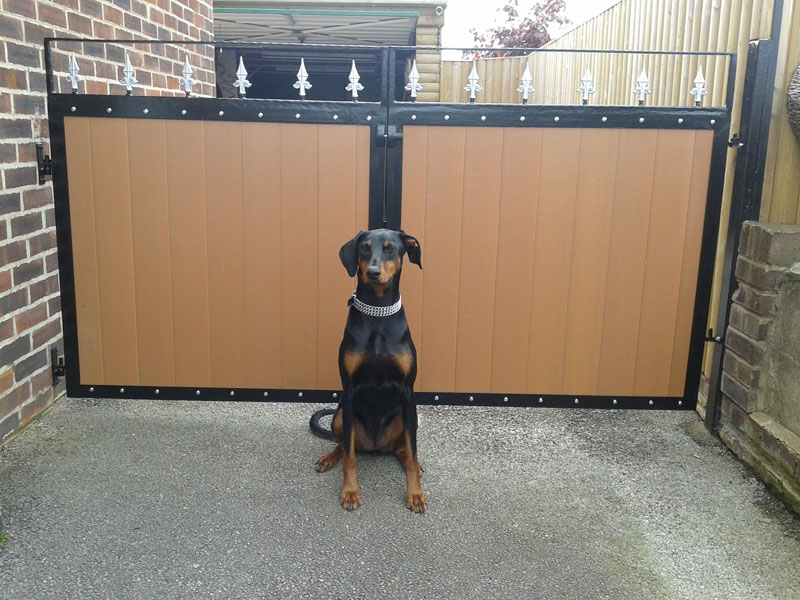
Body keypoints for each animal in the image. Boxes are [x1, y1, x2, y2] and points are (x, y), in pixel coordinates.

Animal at [310, 229, 424, 510]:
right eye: (364, 247)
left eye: (390, 248)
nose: (373, 272)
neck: (378, 312)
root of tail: (375, 447)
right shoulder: (349, 391)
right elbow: (350, 456)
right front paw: (350, 492)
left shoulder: (408, 391)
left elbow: (412, 449)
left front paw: (415, 493)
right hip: (340, 413)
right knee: (344, 445)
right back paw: (329, 458)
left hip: (407, 415)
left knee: (404, 450)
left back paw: (414, 464)